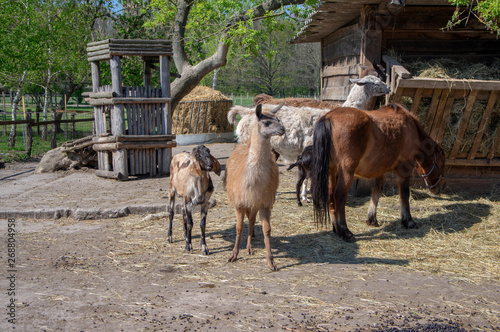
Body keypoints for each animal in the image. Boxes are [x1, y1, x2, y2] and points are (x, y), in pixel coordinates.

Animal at [226, 103, 286, 270]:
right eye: (266, 122)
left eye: (279, 119)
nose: (283, 129)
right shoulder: (240, 202)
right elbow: (239, 227)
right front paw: (233, 255)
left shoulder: (264, 202)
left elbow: (267, 229)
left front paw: (271, 261)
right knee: (249, 221)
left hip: (255, 203)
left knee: (252, 221)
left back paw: (249, 247)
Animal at [312, 103, 446, 241]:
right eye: (442, 162)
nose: (441, 187)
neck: (410, 129)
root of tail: (328, 118)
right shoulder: (405, 169)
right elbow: (404, 194)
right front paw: (408, 221)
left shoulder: (380, 171)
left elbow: (376, 192)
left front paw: (372, 218)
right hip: (346, 172)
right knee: (340, 196)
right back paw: (345, 231)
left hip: (331, 171)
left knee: (330, 197)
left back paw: (336, 228)